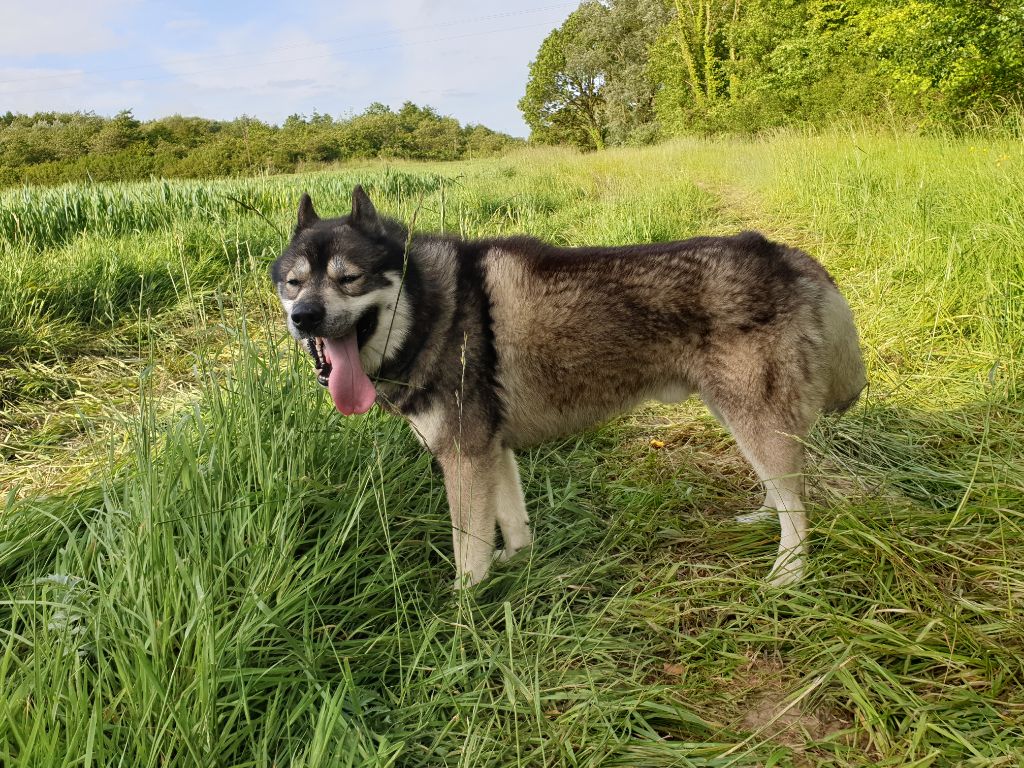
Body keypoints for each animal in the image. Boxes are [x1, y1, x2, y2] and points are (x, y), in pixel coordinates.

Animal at [270, 186, 864, 589]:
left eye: (349, 279)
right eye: (294, 283)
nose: (304, 317)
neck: (432, 306)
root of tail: (787, 256)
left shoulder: (463, 458)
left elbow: (468, 555)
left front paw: (462, 616)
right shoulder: (492, 452)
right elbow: (511, 524)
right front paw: (519, 566)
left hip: (753, 417)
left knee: (798, 506)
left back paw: (788, 573)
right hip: (738, 415)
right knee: (781, 490)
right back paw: (763, 518)